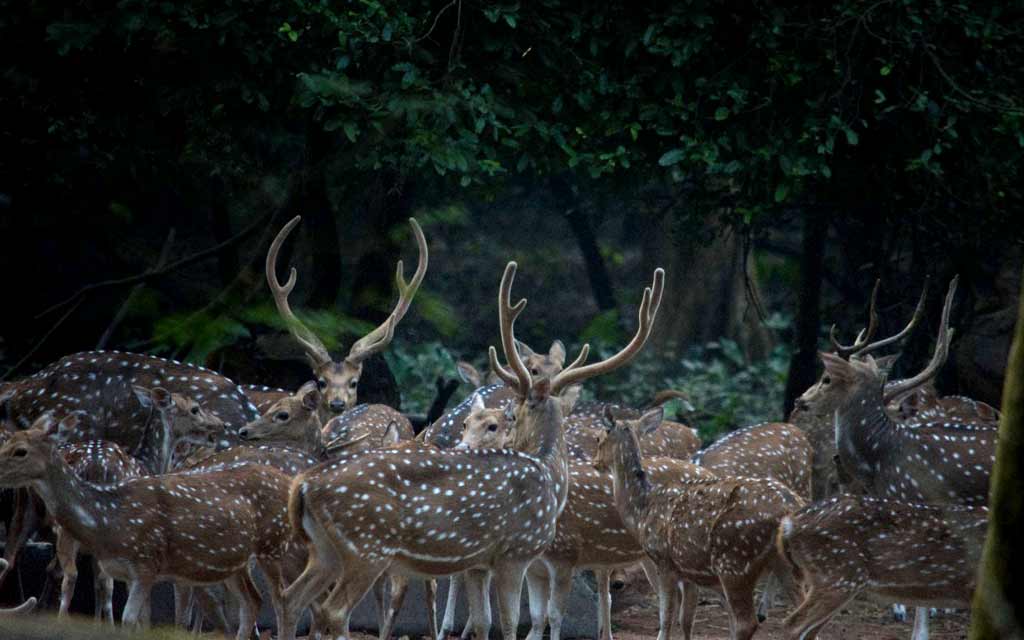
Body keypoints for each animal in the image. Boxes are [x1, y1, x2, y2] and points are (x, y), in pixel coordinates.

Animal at [0, 417, 292, 634]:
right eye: (6, 444)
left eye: (20, 450)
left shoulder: (146, 564)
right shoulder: (130, 572)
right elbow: (137, 616)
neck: (106, 519)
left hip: (272, 546)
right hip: (234, 562)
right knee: (252, 602)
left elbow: (130, 617)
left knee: (282, 600)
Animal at [280, 260, 663, 638]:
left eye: (510, 414)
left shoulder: (480, 564)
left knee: (292, 598)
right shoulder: (515, 551)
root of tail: (304, 486)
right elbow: (509, 623)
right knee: (333, 610)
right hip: (366, 547)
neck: (550, 476)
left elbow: (483, 621)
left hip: (325, 550)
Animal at [593, 409, 806, 638]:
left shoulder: (664, 560)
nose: (595, 462)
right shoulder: (687, 570)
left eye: (599, 438)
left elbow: (667, 619)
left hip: (735, 562)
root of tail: (790, 506)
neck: (642, 510)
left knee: (747, 622)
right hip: (783, 563)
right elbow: (685, 619)